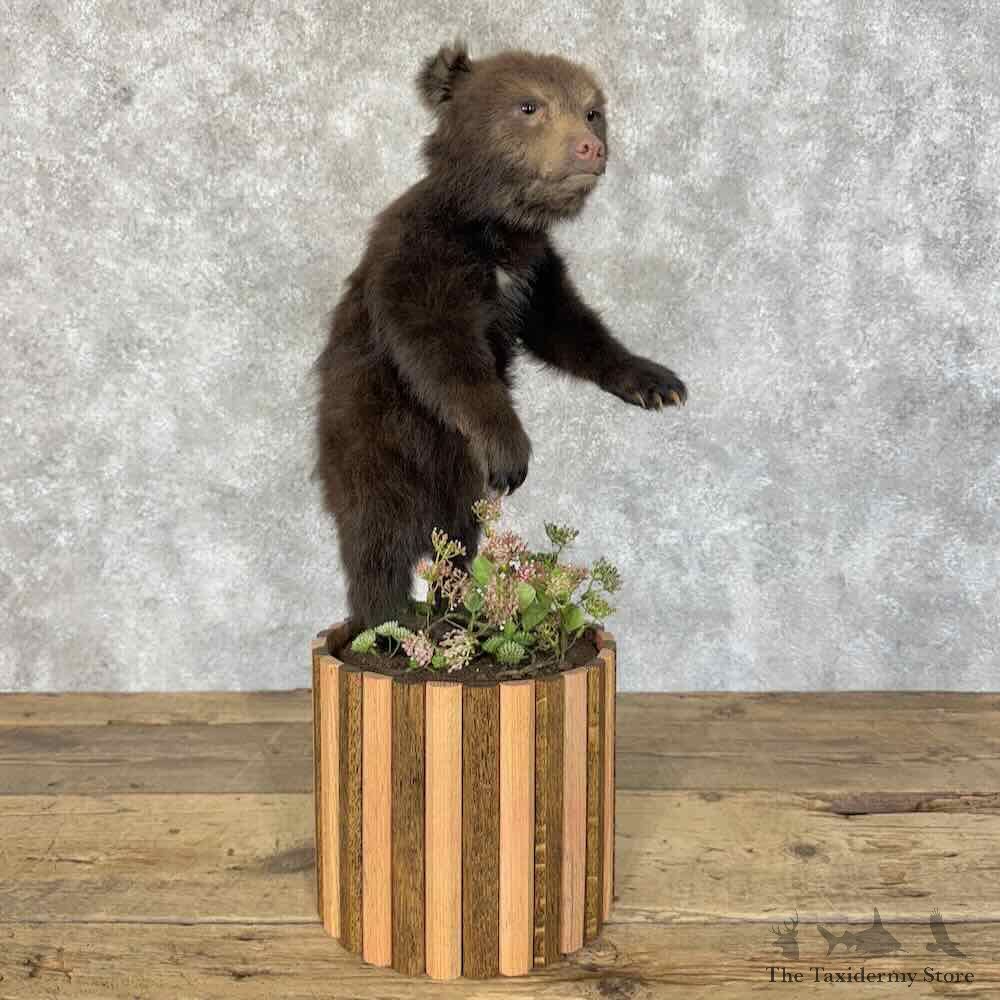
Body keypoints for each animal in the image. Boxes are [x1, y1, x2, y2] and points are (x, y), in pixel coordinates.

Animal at [314, 42, 688, 627]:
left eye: (591, 111)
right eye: (528, 106)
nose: (588, 147)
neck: (498, 230)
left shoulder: (535, 276)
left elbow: (570, 328)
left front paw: (656, 382)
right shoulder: (422, 260)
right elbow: (443, 353)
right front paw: (512, 450)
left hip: (455, 478)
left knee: (457, 536)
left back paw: (454, 606)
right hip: (376, 440)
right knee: (379, 535)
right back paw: (390, 620)